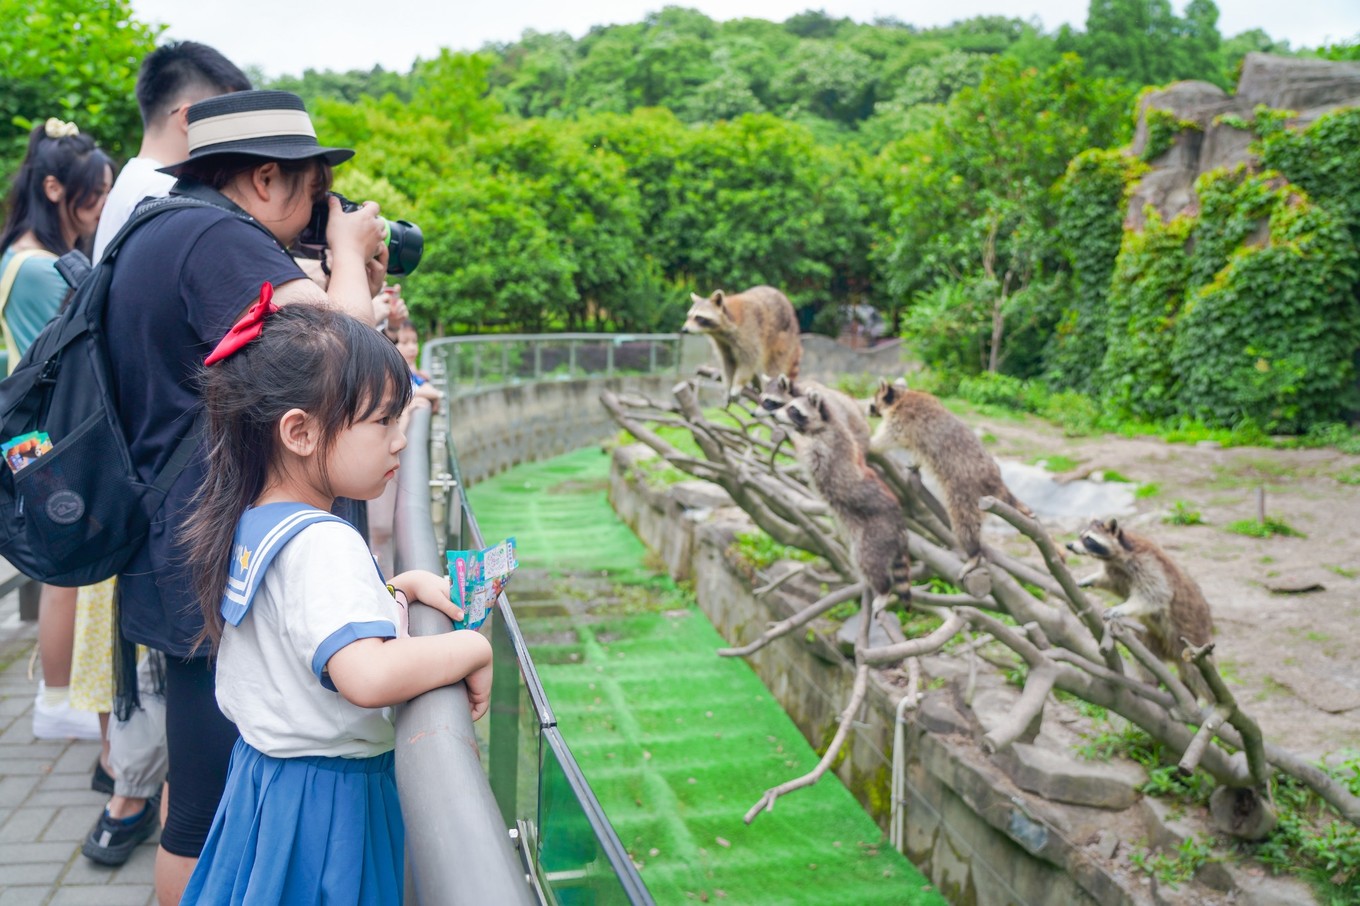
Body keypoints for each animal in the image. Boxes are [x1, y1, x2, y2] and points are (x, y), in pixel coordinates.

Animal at [777, 389, 913, 609]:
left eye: (793, 410)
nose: (775, 414)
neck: (826, 423)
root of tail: (899, 526)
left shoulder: (826, 446)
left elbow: (809, 454)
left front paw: (790, 433)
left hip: (876, 535)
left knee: (868, 560)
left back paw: (883, 589)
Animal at [870, 378, 1028, 574]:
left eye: (873, 401)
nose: (869, 410)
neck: (901, 396)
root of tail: (997, 481)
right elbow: (917, 451)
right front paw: (916, 463)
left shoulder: (901, 421)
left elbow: (887, 438)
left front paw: (869, 444)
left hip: (965, 492)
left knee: (964, 522)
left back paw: (974, 552)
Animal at [1066, 514, 1218, 696]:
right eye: (1080, 535)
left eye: (1089, 539)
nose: (1069, 545)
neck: (1118, 555)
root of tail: (1172, 653)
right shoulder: (1118, 571)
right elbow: (1113, 584)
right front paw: (1091, 578)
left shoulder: (1148, 565)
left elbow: (1154, 594)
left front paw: (1122, 607)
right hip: (1153, 638)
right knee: (1145, 654)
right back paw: (1150, 681)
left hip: (1194, 642)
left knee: (1199, 676)